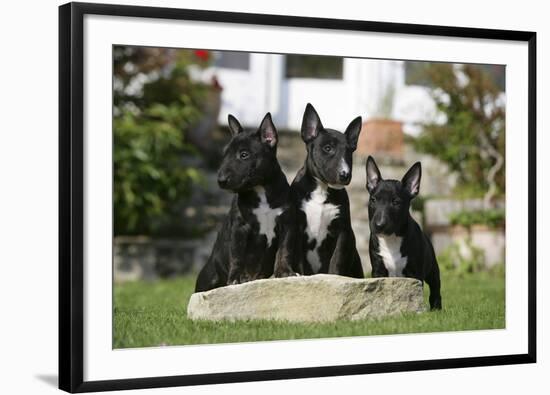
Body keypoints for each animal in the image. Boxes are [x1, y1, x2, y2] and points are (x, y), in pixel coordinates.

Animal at [294, 103, 366, 280]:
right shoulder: (297, 227)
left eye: (349, 152)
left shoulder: (343, 231)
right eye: (327, 148)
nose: (345, 174)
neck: (322, 189)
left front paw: (335, 277)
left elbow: (337, 258)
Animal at [366, 156, 444, 310]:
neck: (391, 238)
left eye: (396, 202)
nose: (379, 225)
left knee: (435, 288)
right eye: (373, 200)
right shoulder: (378, 270)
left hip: (433, 269)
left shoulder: (414, 273)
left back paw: (436, 308)